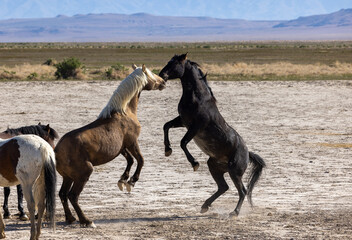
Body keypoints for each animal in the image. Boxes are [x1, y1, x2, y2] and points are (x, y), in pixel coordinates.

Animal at [54, 63, 165, 227]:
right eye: (150, 74)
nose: (163, 81)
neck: (125, 112)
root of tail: (55, 151)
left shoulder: (121, 148)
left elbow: (130, 160)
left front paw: (123, 180)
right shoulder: (132, 142)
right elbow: (140, 160)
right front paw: (131, 182)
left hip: (68, 177)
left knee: (62, 194)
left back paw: (70, 218)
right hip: (83, 175)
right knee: (72, 196)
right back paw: (86, 221)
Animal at [158, 54, 266, 216]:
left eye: (175, 64)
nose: (161, 75)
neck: (197, 98)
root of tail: (248, 154)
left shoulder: (196, 127)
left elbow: (183, 142)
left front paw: (194, 163)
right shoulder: (183, 121)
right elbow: (166, 126)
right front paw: (167, 150)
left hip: (235, 172)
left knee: (242, 190)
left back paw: (234, 212)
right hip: (215, 167)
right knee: (224, 187)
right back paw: (205, 206)